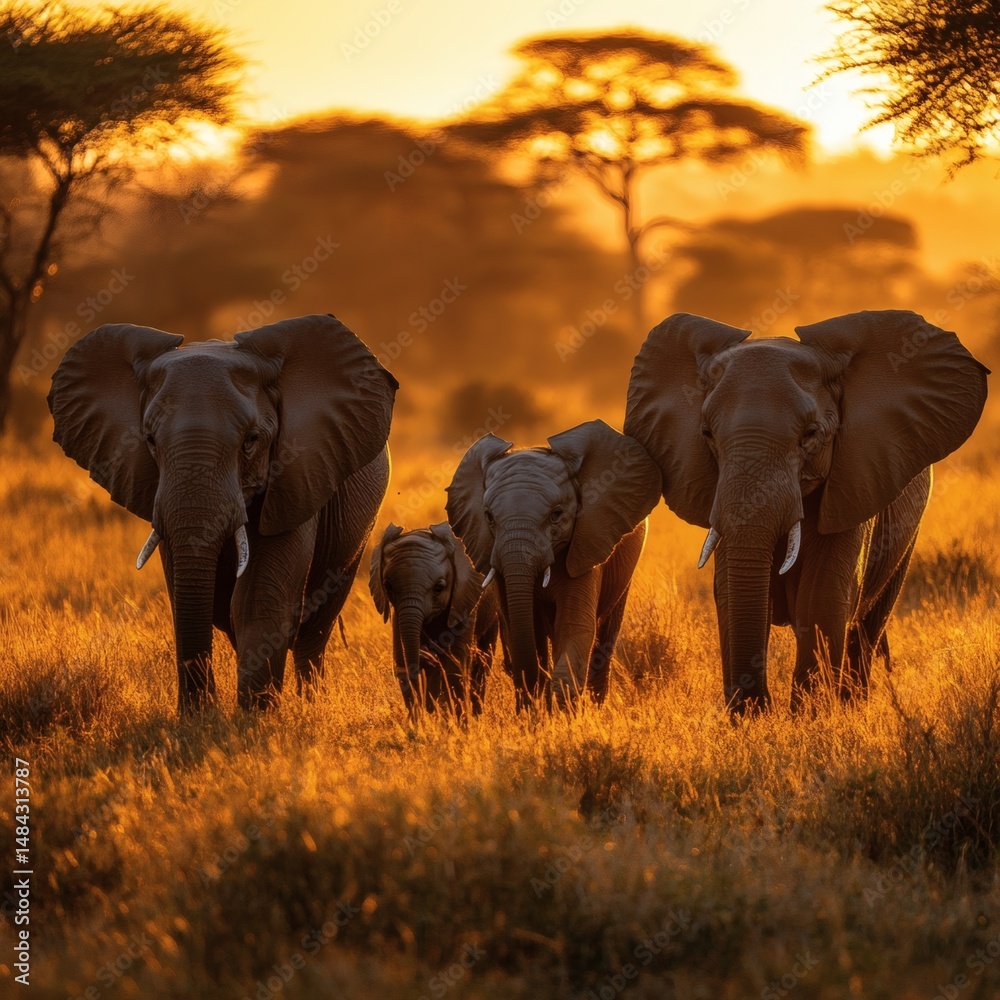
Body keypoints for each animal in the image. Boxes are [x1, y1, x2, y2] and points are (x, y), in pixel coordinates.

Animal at [48, 314, 398, 713]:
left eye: (251, 441)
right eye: (149, 440)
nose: (199, 710)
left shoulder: (297, 473)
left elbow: (256, 597)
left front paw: (253, 718)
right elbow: (185, 594)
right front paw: (201, 719)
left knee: (316, 623)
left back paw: (311, 705)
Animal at [369, 521, 501, 718]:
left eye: (439, 587)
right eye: (387, 586)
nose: (426, 655)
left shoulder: (464, 600)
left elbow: (454, 664)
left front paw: (453, 720)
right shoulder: (398, 614)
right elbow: (401, 661)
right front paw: (423, 719)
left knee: (483, 661)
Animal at [446, 419, 662, 709]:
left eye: (556, 515)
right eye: (489, 517)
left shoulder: (585, 545)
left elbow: (574, 627)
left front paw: (560, 712)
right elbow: (521, 627)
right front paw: (534, 711)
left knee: (604, 637)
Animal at [625, 310, 989, 714]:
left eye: (811, 435)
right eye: (706, 434)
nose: (760, 706)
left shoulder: (855, 479)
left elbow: (823, 595)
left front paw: (810, 718)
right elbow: (729, 591)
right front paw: (756, 719)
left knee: (866, 630)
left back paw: (851, 707)